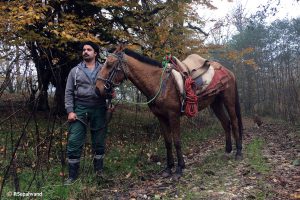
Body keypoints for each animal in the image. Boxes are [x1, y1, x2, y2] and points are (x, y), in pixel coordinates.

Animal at [97, 47, 243, 178]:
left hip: (228, 101)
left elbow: (177, 141)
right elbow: (167, 142)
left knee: (234, 122)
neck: (159, 84)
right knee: (226, 123)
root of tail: (228, 71)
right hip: (216, 103)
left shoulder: (173, 116)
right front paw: (168, 168)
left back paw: (238, 152)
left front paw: (179, 169)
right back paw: (228, 150)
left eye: (109, 64)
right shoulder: (161, 118)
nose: (98, 89)